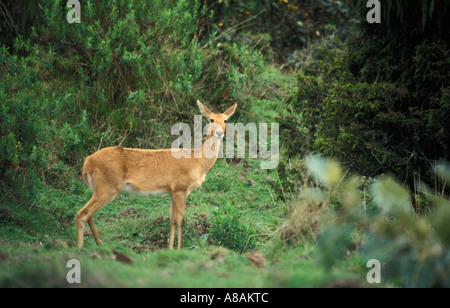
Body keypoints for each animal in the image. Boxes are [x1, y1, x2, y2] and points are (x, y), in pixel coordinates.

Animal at [75, 100, 237, 249]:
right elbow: (181, 219)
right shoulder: (180, 188)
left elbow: (172, 219)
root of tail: (87, 161)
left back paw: (99, 243)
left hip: (100, 189)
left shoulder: (171, 191)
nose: (220, 133)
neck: (196, 160)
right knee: (82, 213)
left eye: (225, 120)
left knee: (89, 214)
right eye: (211, 119)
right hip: (108, 187)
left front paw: (170, 248)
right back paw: (80, 248)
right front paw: (179, 249)